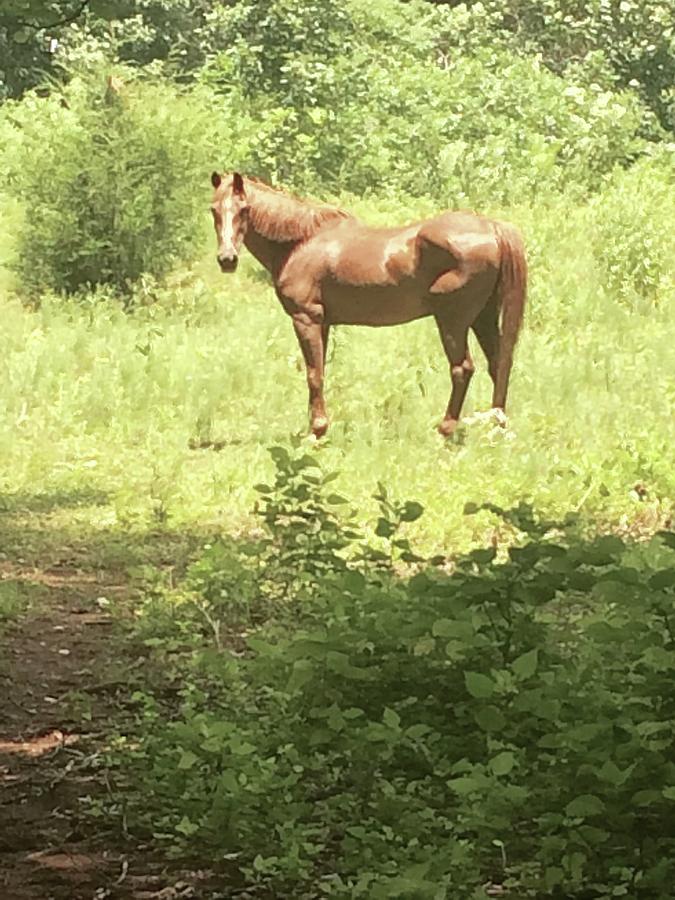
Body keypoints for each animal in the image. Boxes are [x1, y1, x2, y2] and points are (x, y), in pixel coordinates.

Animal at [211, 172, 528, 440]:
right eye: (214, 209)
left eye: (243, 209)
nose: (227, 259)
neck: (301, 242)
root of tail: (492, 228)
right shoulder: (323, 323)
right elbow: (319, 371)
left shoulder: (306, 318)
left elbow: (314, 374)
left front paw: (317, 431)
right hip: (483, 317)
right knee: (499, 364)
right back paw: (497, 425)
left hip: (453, 320)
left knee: (463, 369)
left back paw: (445, 429)